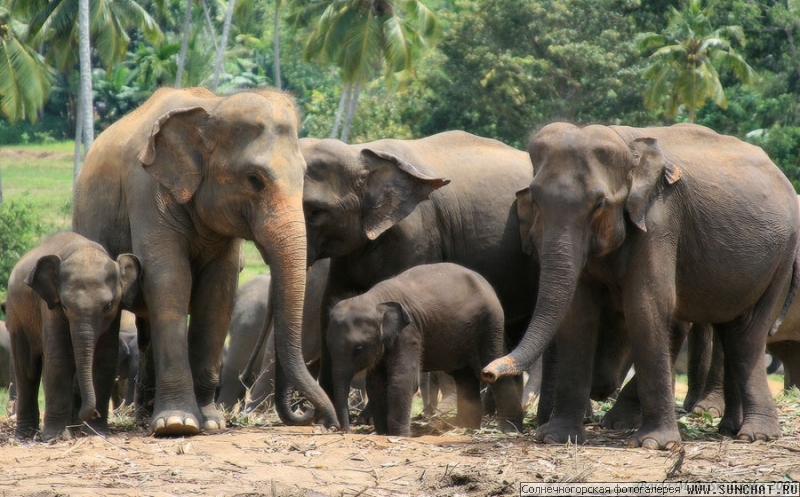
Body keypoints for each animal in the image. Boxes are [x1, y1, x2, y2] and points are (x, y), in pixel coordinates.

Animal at [4, 231, 141, 440]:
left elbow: (105, 360)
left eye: (109, 305)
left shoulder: (114, 318)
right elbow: (59, 358)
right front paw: (56, 437)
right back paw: (26, 435)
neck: (84, 249)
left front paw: (97, 432)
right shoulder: (50, 308)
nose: (94, 413)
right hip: (16, 315)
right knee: (27, 369)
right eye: (65, 306)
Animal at [67, 86, 332, 434]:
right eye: (254, 178)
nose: (311, 415)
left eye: (304, 176)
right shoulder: (147, 190)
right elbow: (169, 278)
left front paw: (210, 422)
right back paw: (97, 426)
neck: (212, 106)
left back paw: (143, 416)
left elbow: (218, 291)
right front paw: (177, 424)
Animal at [324, 262, 524, 436]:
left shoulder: (409, 333)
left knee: (492, 362)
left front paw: (399, 436)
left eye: (358, 349)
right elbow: (375, 383)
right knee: (464, 375)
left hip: (490, 323)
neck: (374, 299)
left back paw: (509, 429)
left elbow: (402, 379)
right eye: (329, 348)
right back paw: (465, 426)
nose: (346, 431)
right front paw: (383, 434)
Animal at [482, 122, 800, 448]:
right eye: (535, 200)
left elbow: (646, 306)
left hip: (782, 257)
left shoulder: (661, 219)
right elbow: (578, 315)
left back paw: (756, 434)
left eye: (599, 204)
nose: (488, 373)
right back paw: (729, 429)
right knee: (731, 330)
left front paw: (654, 443)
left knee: (747, 335)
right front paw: (557, 437)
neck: (627, 145)